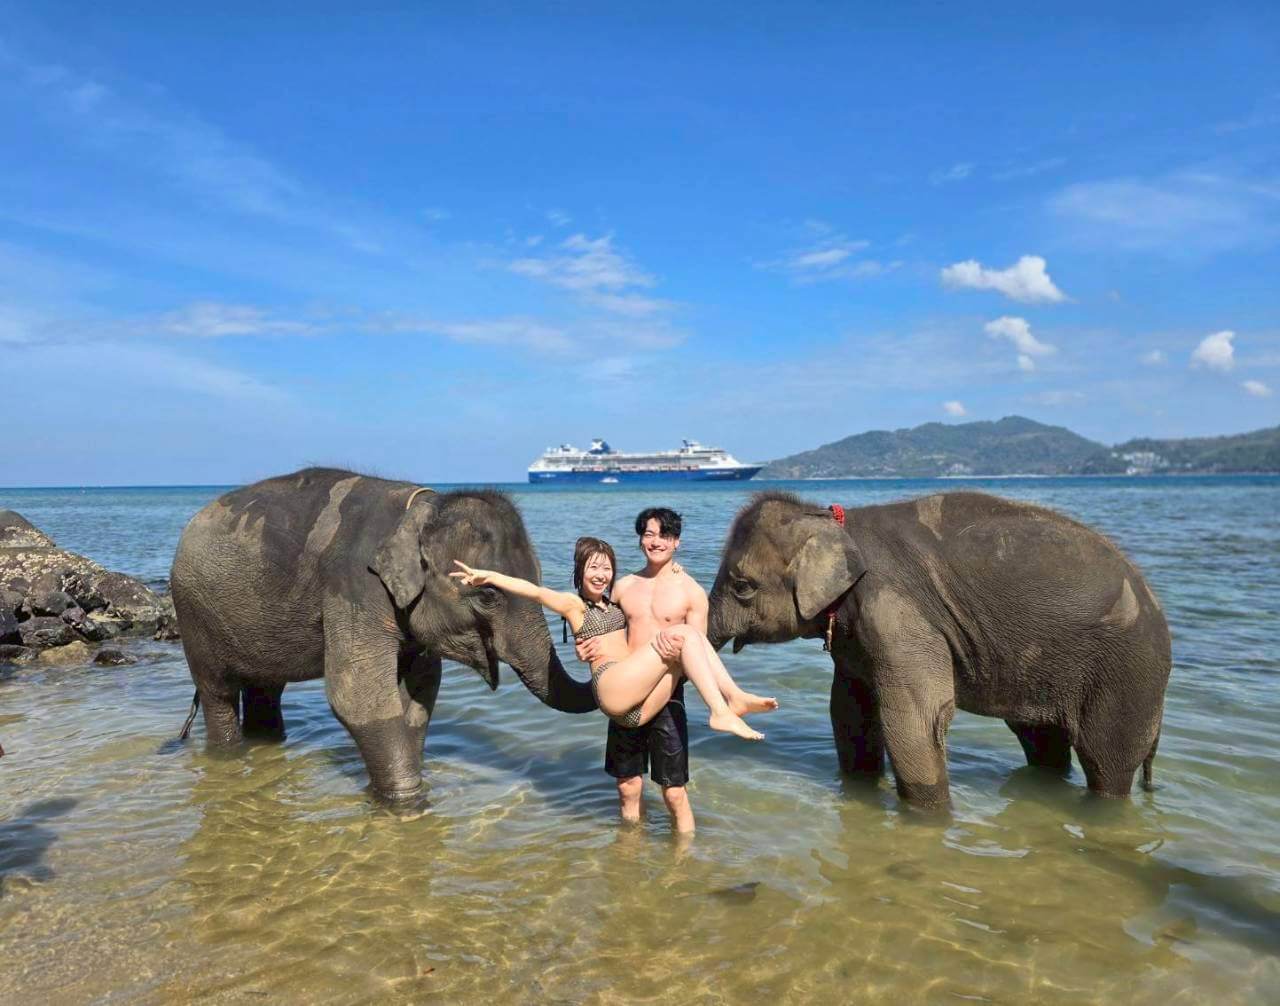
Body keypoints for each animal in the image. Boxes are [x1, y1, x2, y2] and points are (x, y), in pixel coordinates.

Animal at [170, 467, 595, 799]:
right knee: (219, 693)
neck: (421, 514)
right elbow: (359, 698)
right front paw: (406, 801)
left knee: (265, 689)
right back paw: (227, 752)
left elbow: (420, 693)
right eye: (488, 595)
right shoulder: (355, 588)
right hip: (194, 614)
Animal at [707, 491, 1171, 807]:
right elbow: (849, 710)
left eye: (742, 586)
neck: (833, 523)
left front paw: (927, 816)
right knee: (1042, 743)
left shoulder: (897, 610)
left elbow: (917, 716)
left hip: (1128, 677)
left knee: (1106, 762)